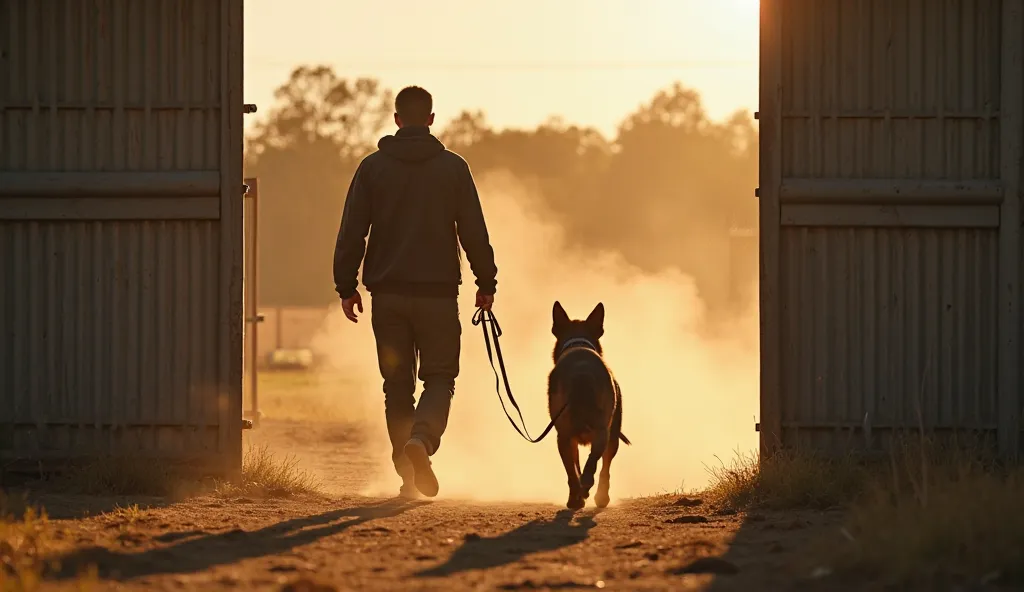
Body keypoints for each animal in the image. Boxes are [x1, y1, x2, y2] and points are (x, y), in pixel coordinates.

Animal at [548, 299, 626, 508]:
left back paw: (580, 496)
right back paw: (590, 492)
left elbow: (574, 468)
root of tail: (581, 375)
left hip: (573, 435)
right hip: (602, 432)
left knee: (582, 469)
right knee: (595, 466)